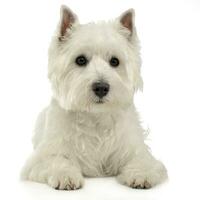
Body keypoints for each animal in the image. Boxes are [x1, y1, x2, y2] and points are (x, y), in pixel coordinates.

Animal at [20, 4, 167, 189]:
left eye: (114, 61)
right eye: (80, 60)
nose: (101, 88)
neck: (96, 116)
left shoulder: (135, 149)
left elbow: (143, 161)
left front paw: (140, 175)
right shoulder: (42, 157)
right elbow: (57, 160)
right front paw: (65, 176)